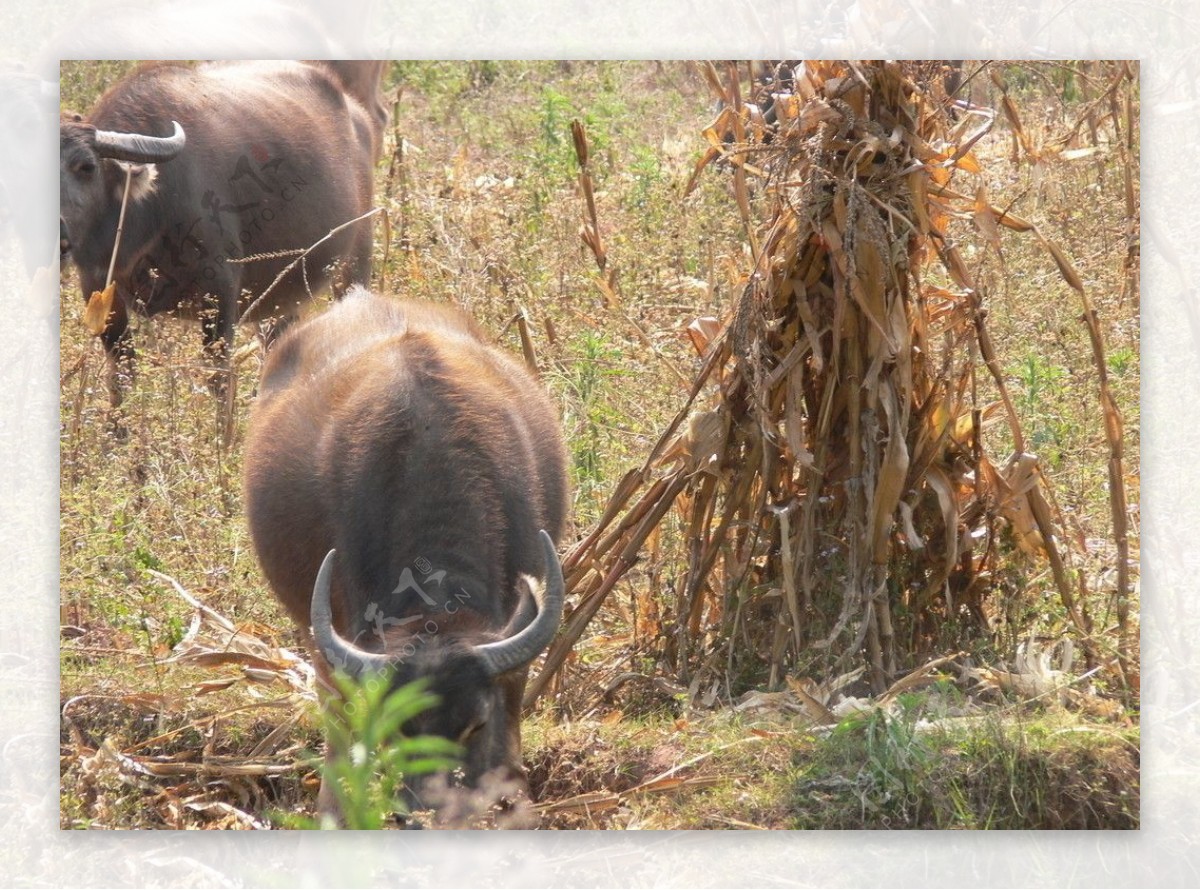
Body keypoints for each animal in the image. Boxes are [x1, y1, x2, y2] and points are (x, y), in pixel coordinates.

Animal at [60, 59, 388, 400]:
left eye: (86, 167)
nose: (58, 237)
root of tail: (356, 113)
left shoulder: (220, 292)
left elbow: (219, 380)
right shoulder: (99, 289)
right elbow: (121, 373)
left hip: (355, 262)